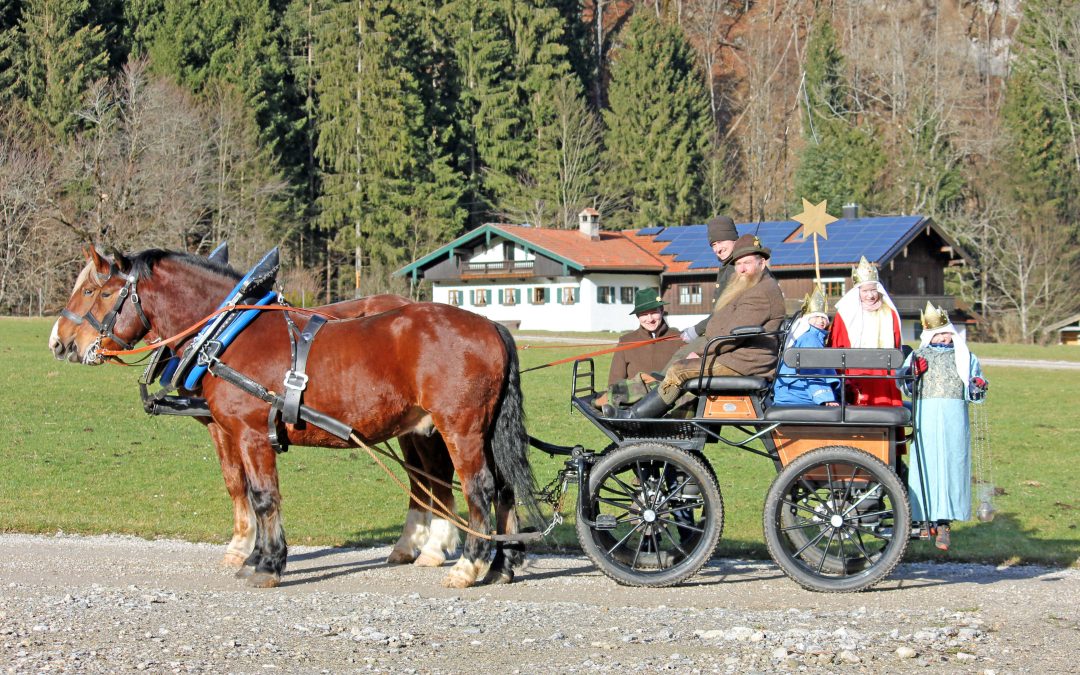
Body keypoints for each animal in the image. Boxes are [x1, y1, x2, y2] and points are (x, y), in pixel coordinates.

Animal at [50, 246, 540, 583]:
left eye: (96, 290)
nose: (60, 342)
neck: (226, 334)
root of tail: (490, 325)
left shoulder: (249, 433)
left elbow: (263, 495)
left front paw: (266, 563)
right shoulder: (232, 432)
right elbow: (246, 491)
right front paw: (253, 554)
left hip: (458, 428)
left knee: (476, 487)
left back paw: (467, 565)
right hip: (466, 430)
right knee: (496, 486)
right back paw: (501, 562)